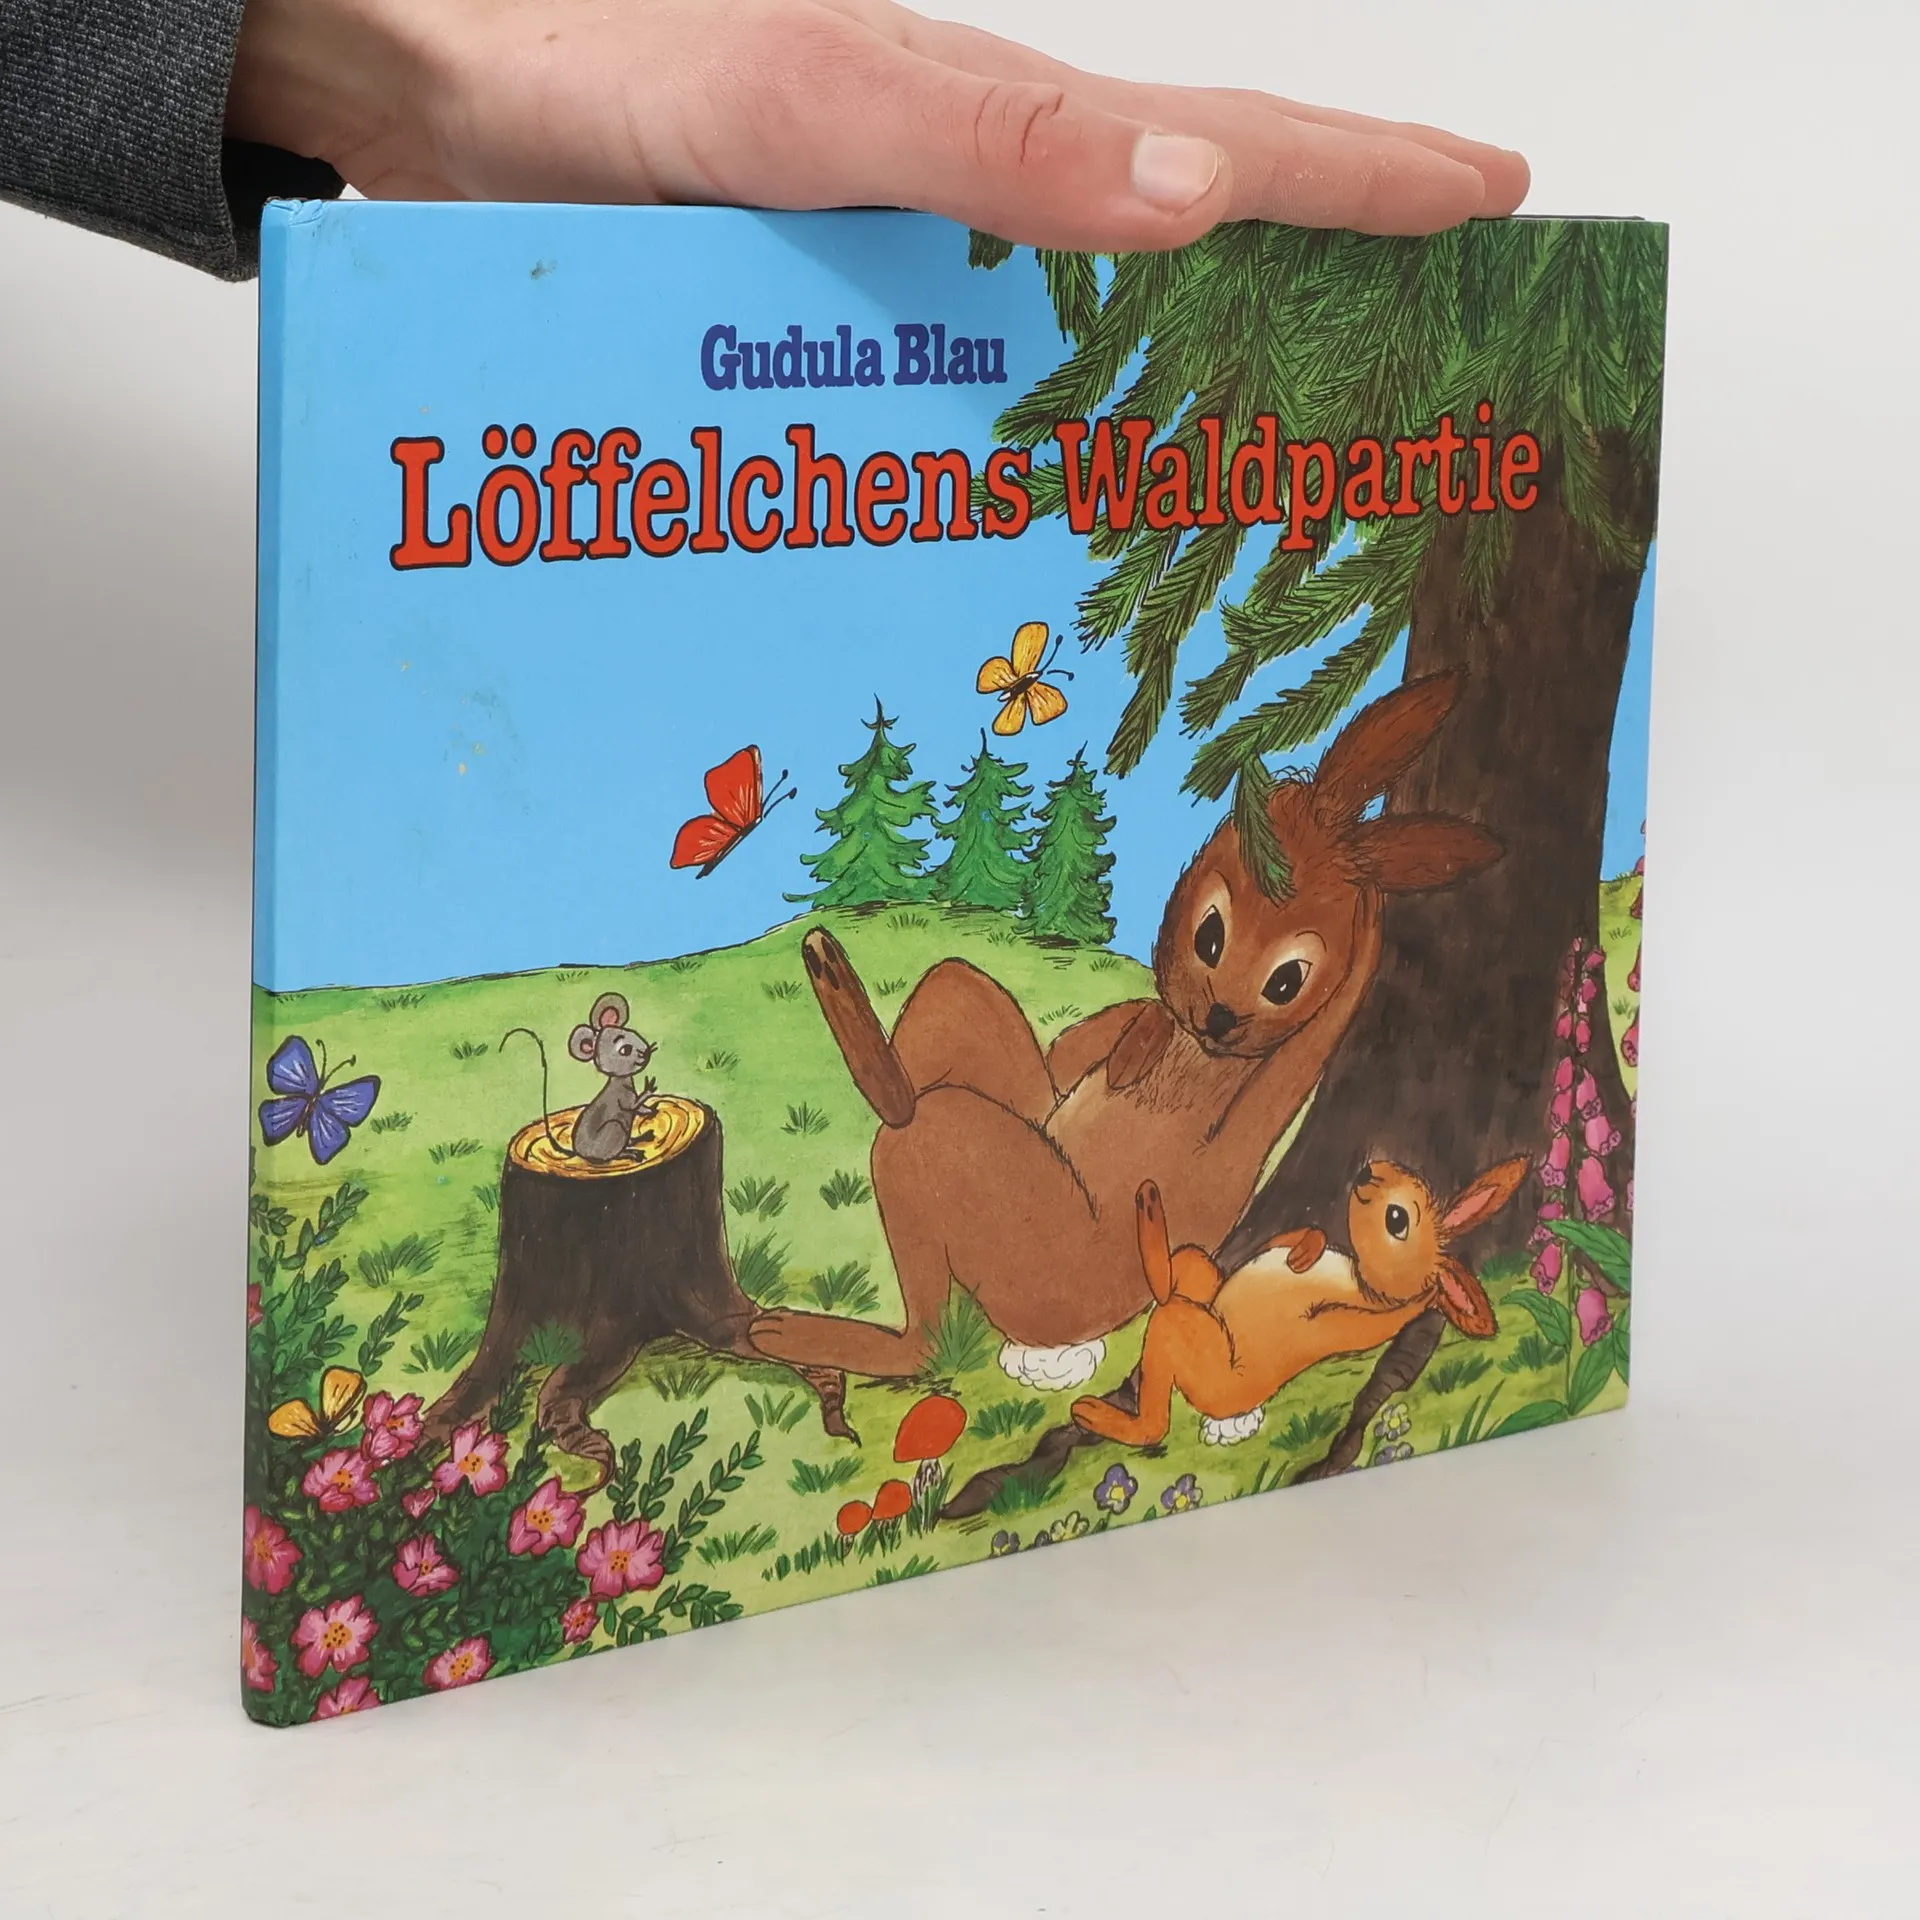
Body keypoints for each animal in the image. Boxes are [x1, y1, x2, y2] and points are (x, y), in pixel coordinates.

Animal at [748, 671, 1503, 1384]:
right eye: (1210, 935)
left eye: (1287, 982)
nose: (1219, 1017)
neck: (1201, 1056)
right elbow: (1088, 1048)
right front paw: (1136, 1037)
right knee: (960, 992)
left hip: (1012, 1240)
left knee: (925, 1299)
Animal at [1068, 1154, 1533, 1448]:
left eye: (1396, 1219)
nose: (1368, 1171)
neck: (1361, 1279)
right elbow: (1302, 1236)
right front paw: (1305, 1252)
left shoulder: (1356, 1319)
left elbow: (1369, 1324)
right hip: (1203, 1279)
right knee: (1191, 1269)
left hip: (1194, 1353)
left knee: (1159, 1394)